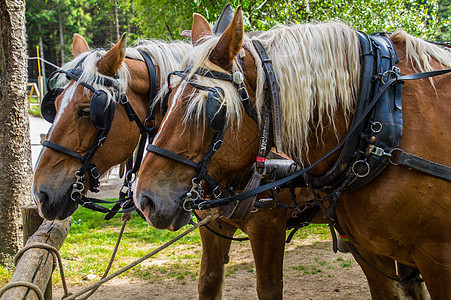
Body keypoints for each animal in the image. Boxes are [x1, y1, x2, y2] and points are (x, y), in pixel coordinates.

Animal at [136, 5, 450, 298]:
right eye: (166, 102)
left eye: (212, 110)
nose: (145, 200)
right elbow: (208, 283)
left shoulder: (268, 227)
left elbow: (269, 288)